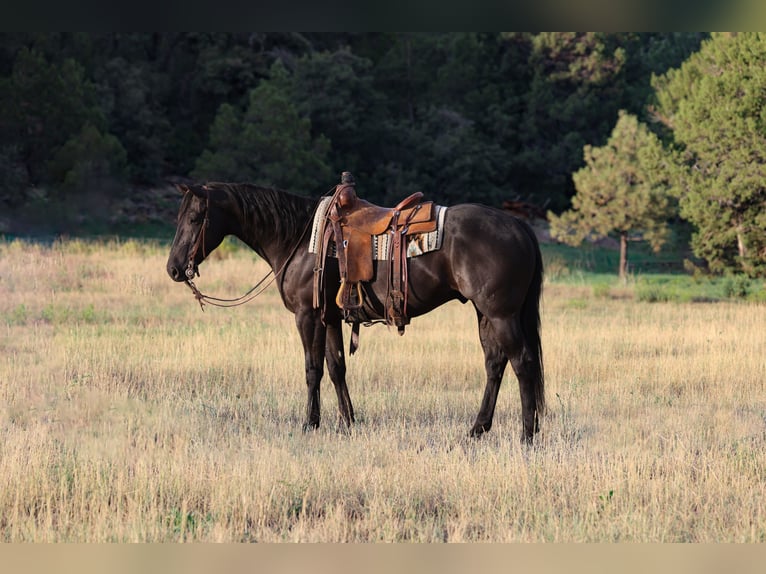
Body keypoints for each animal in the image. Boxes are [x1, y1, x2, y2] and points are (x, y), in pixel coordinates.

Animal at [166, 181, 545, 443]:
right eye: (179, 217)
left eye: (196, 217)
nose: (173, 268)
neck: (297, 238)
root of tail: (519, 227)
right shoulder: (331, 318)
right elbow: (336, 368)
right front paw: (348, 421)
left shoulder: (307, 316)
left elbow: (313, 369)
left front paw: (310, 423)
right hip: (485, 314)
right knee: (495, 364)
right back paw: (478, 428)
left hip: (501, 314)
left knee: (522, 363)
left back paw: (527, 435)